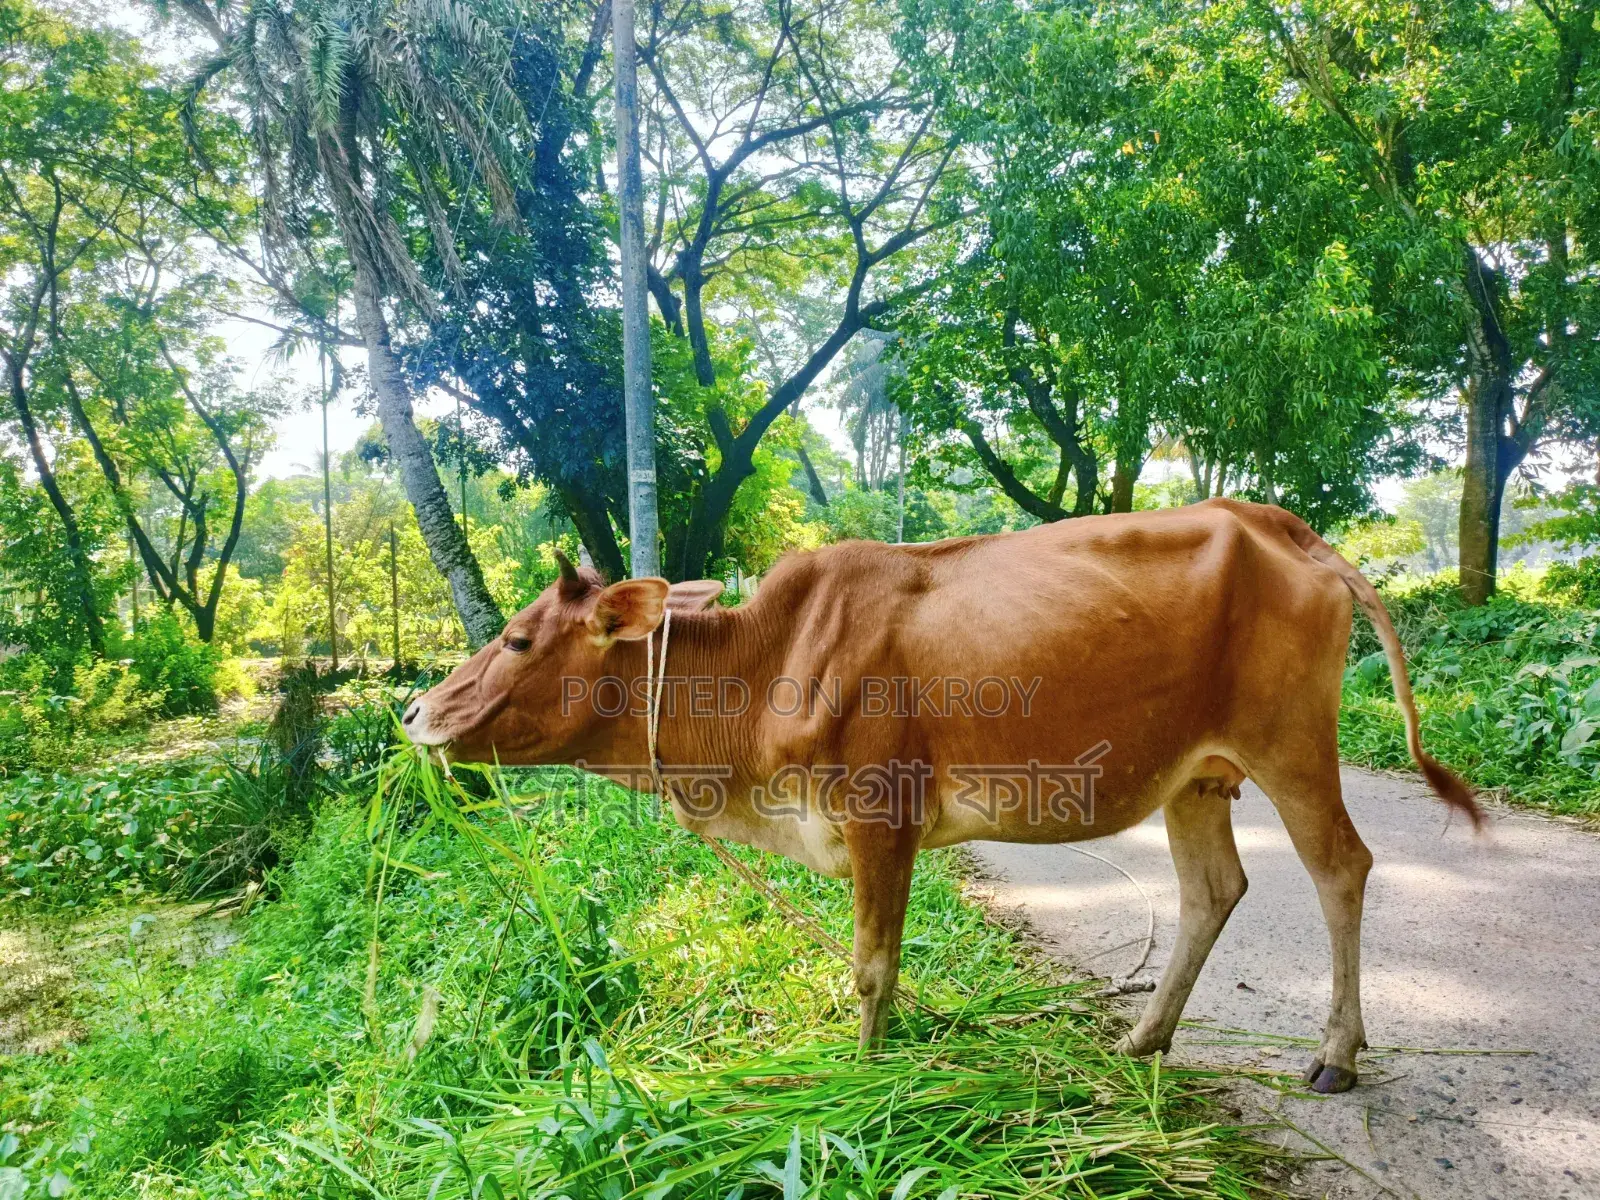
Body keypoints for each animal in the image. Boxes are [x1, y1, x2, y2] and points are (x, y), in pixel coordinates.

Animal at [403, 498, 1480, 1094]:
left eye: (518, 640)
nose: (414, 711)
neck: (762, 668)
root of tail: (1284, 528)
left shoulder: (880, 814)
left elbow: (871, 969)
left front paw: (863, 1076)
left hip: (1290, 746)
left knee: (1341, 868)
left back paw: (1336, 1054)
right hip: (1196, 776)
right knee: (1212, 890)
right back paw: (1143, 1037)